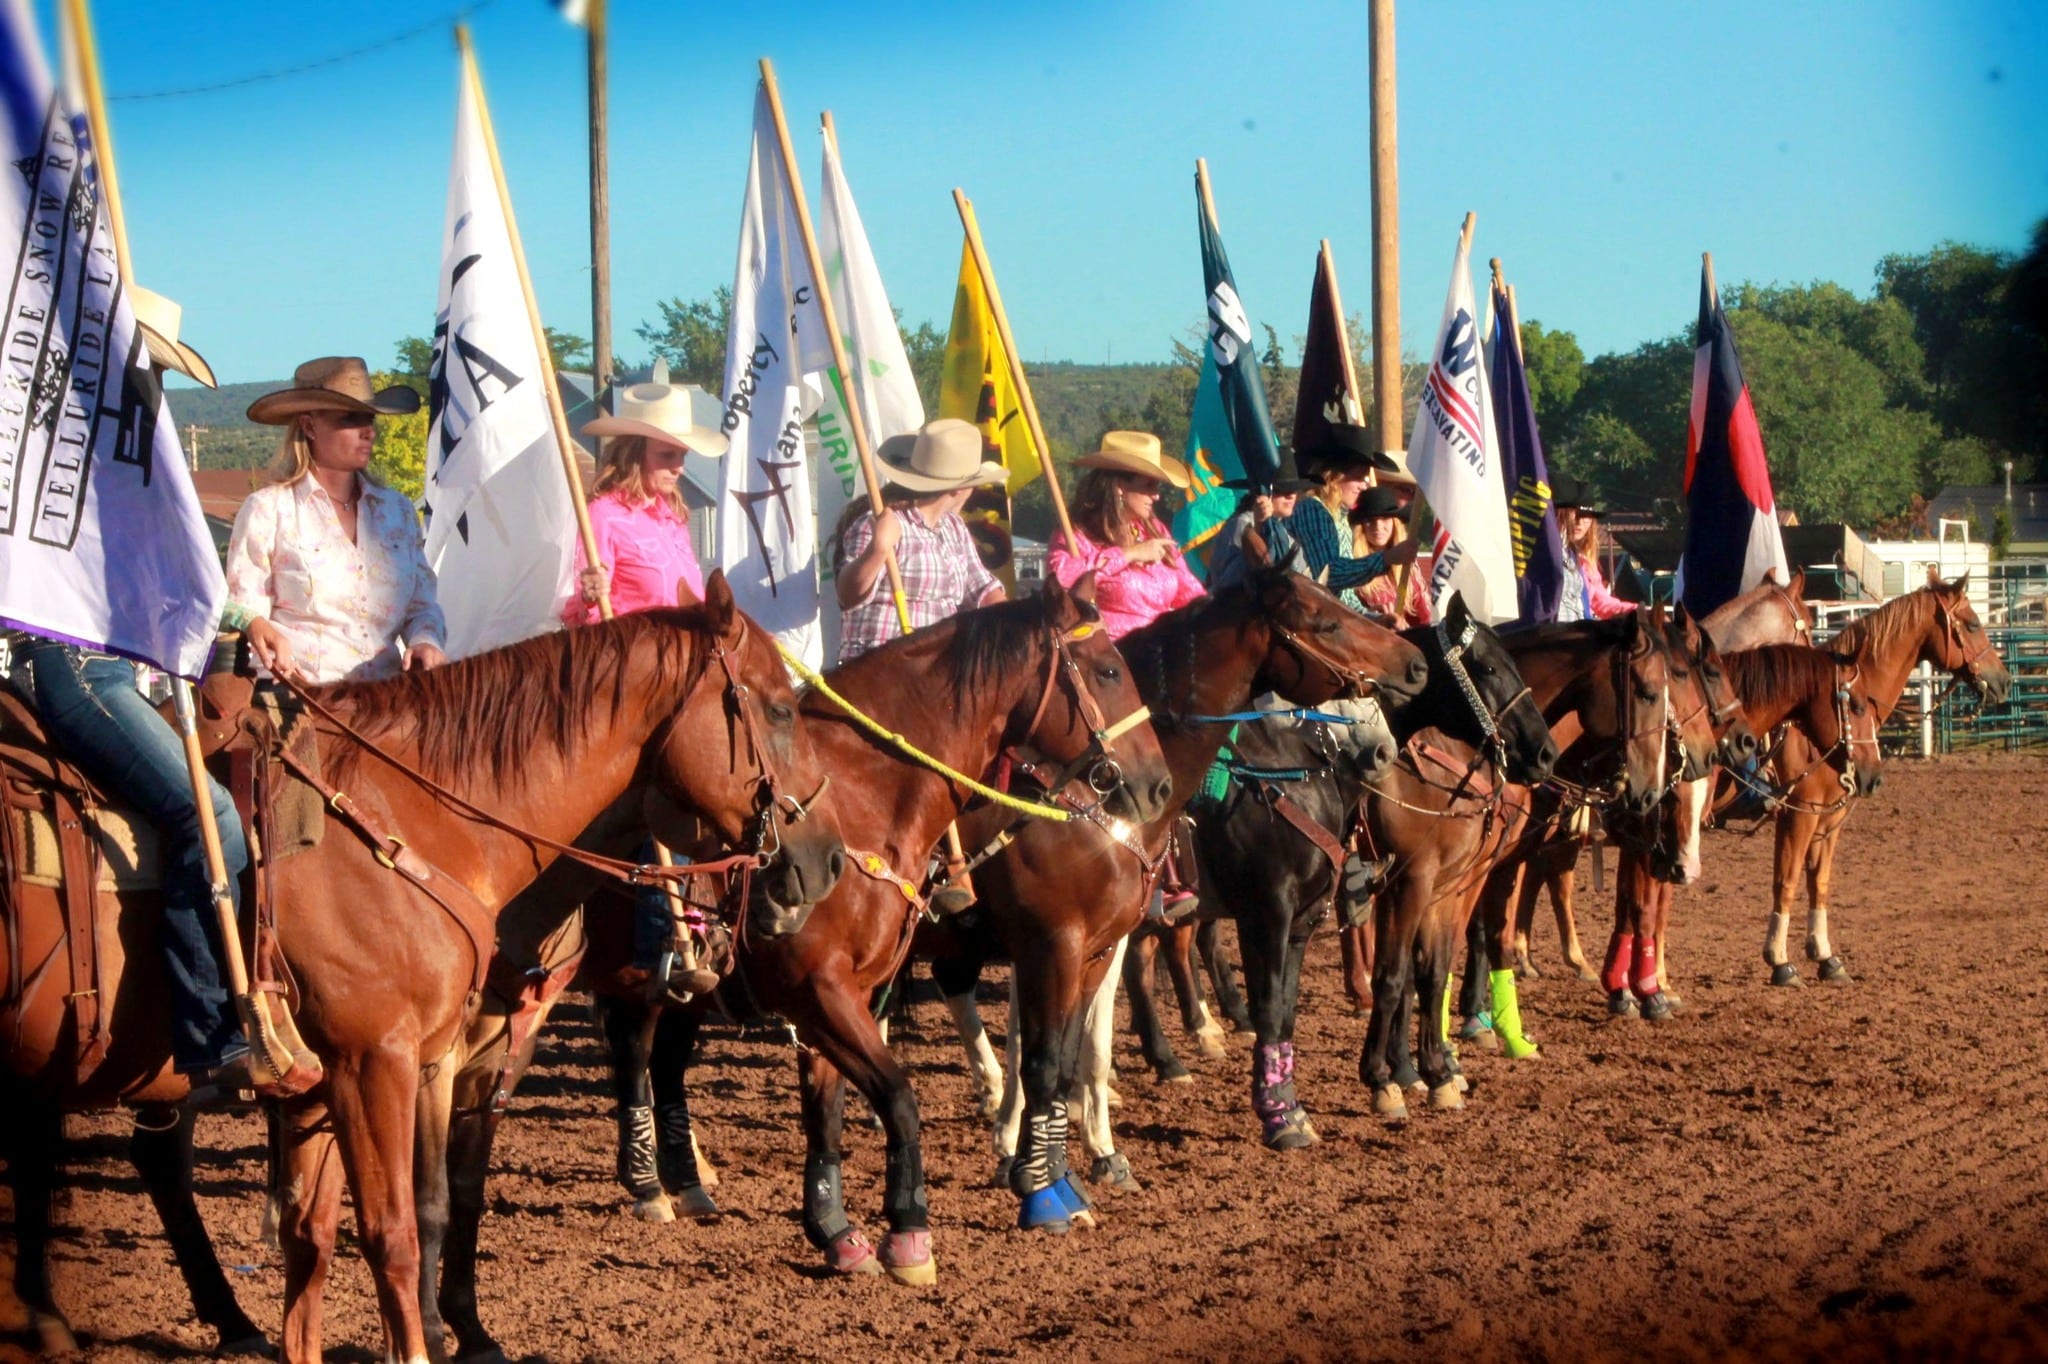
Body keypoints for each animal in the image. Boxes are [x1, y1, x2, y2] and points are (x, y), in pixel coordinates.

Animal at [0, 573, 847, 1359]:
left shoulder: (361, 1077)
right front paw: (428, 1340)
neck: (414, 817)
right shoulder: (377, 1063)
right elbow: (395, 1230)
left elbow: (321, 1238)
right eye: (779, 708)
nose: (829, 861)